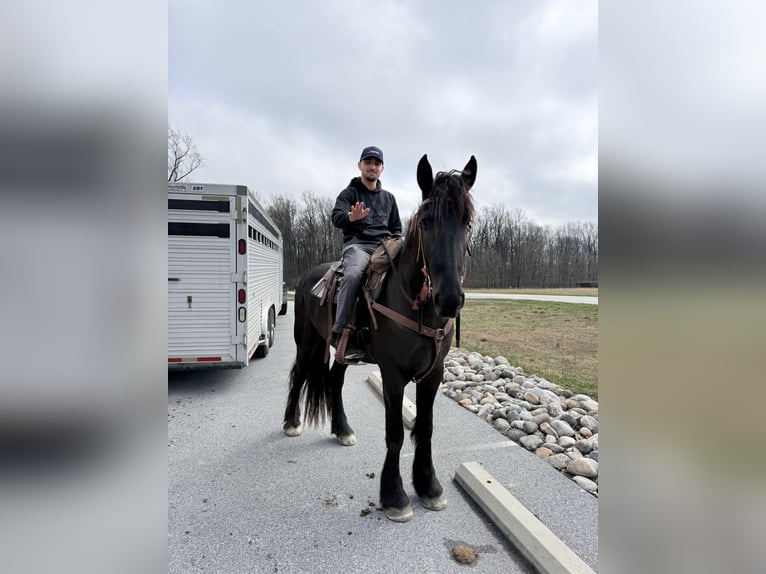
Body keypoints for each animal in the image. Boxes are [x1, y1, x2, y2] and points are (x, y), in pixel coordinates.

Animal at [282, 154, 477, 522]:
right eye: (426, 222)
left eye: (467, 222)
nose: (449, 299)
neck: (413, 303)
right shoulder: (393, 374)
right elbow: (395, 434)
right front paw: (395, 496)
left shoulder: (433, 375)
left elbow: (426, 429)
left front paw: (429, 486)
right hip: (308, 341)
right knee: (299, 374)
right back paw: (290, 422)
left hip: (342, 350)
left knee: (333, 380)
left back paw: (342, 429)